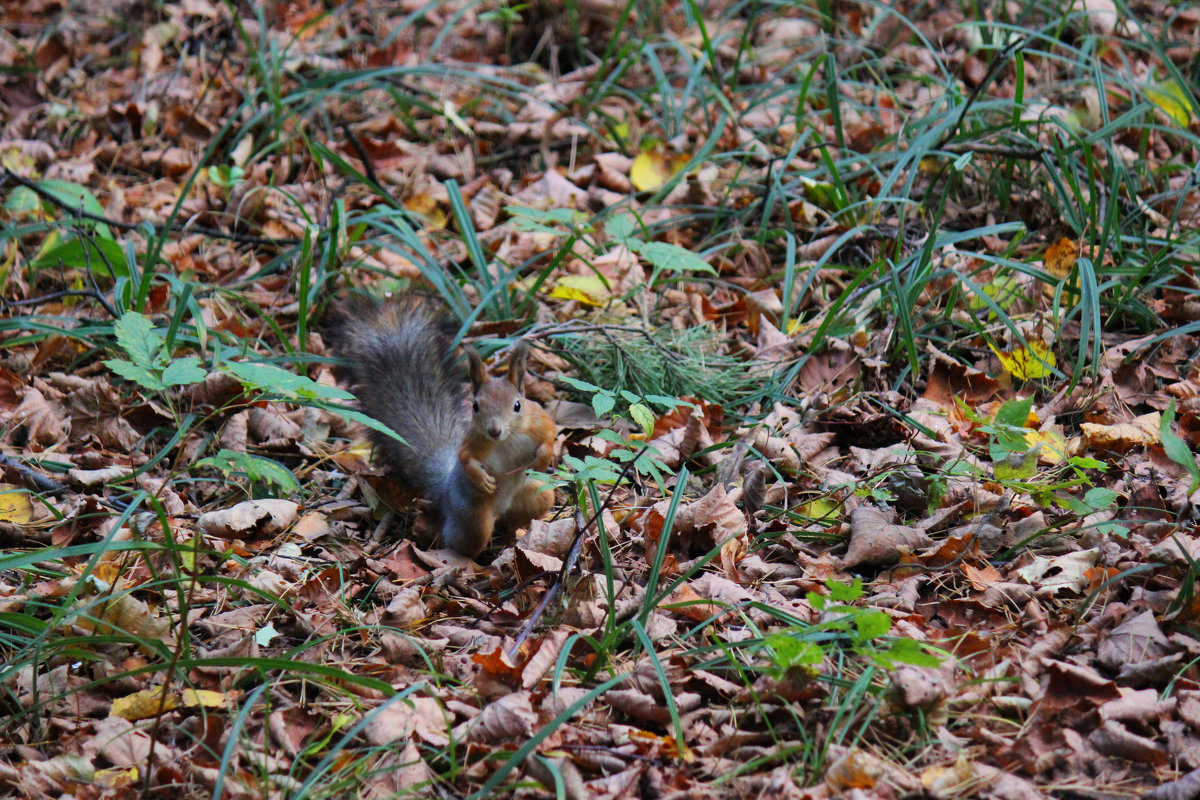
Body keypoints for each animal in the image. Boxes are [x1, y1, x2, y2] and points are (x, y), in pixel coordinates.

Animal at [326, 292, 554, 556]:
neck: (509, 437)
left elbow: (551, 434)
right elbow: (466, 457)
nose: (494, 431)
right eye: (476, 406)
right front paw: (481, 478)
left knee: (516, 519)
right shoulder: (475, 439)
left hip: (537, 496)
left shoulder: (537, 420)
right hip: (473, 517)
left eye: (518, 405)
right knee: (461, 540)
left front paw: (542, 459)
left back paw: (511, 540)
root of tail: (445, 490)